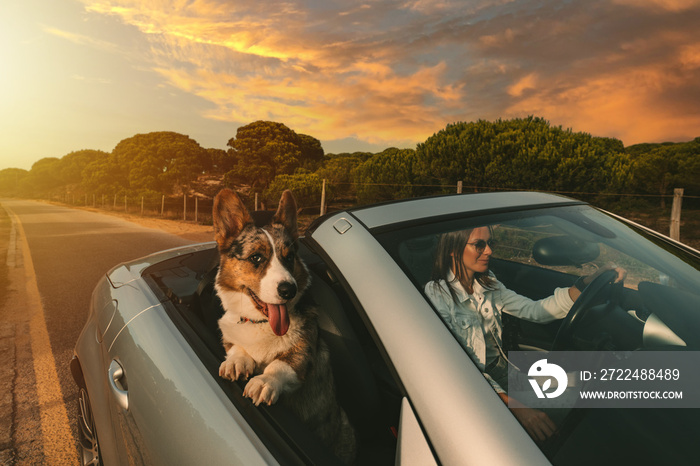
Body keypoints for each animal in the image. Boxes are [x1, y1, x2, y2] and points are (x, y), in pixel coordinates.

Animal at [212, 188, 356, 462]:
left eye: (290, 258)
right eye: (256, 258)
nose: (290, 290)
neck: (261, 323)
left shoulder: (303, 351)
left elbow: (281, 364)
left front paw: (264, 382)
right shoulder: (233, 334)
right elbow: (236, 347)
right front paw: (236, 361)